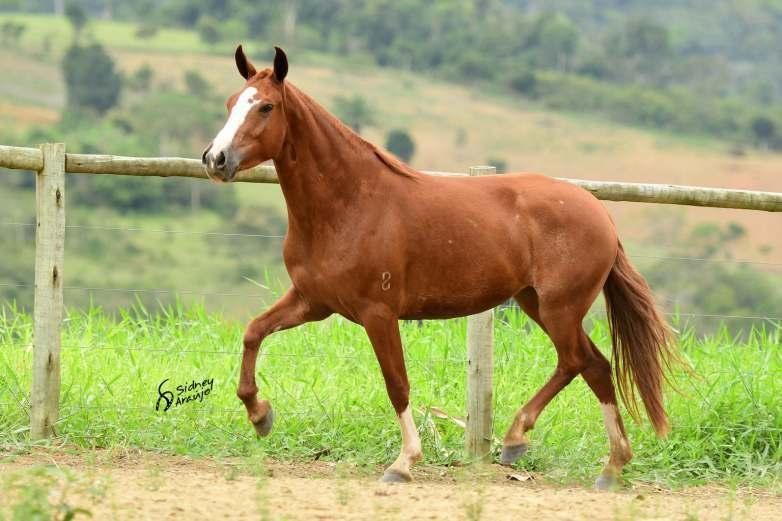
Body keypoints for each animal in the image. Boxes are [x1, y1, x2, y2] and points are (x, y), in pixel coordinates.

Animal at [202, 45, 680, 488]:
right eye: (230, 102)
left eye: (265, 106)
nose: (215, 159)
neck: (350, 204)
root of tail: (601, 214)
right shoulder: (312, 302)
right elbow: (253, 332)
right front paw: (260, 415)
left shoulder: (378, 313)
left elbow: (396, 383)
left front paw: (403, 463)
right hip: (536, 304)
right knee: (596, 366)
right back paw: (609, 467)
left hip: (559, 308)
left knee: (576, 361)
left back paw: (518, 439)